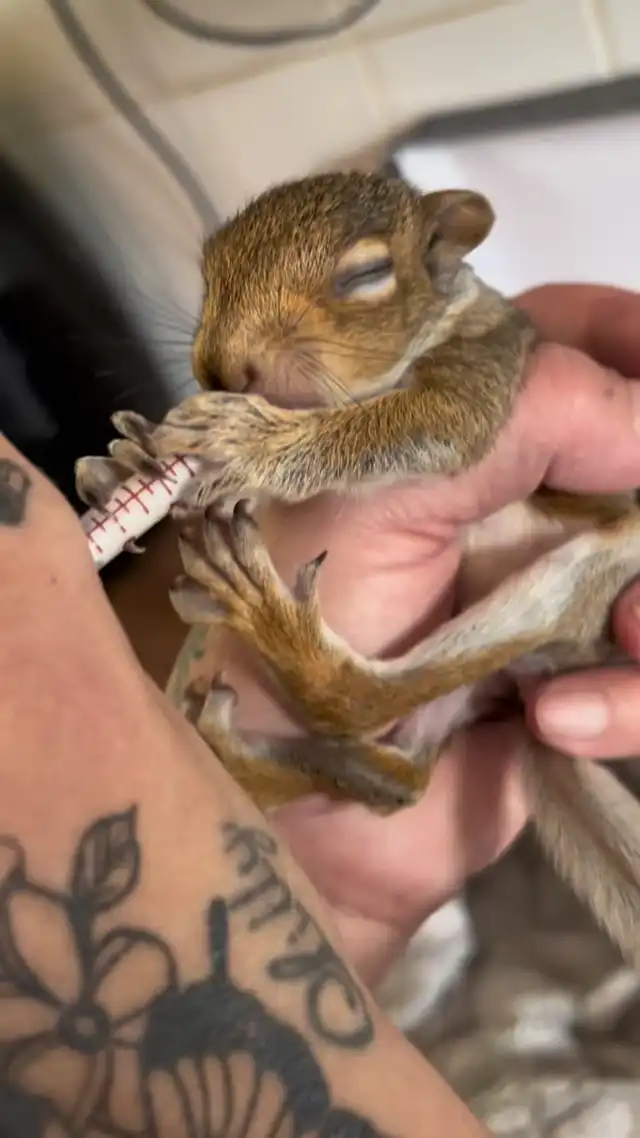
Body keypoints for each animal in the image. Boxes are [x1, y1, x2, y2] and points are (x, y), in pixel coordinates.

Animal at [76, 171, 640, 970]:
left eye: (366, 275)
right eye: (208, 269)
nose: (219, 371)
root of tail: (547, 679)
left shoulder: (489, 369)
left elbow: (406, 427)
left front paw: (247, 440)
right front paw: (122, 469)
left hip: (588, 576)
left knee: (363, 702)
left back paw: (265, 619)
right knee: (395, 779)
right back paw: (233, 749)